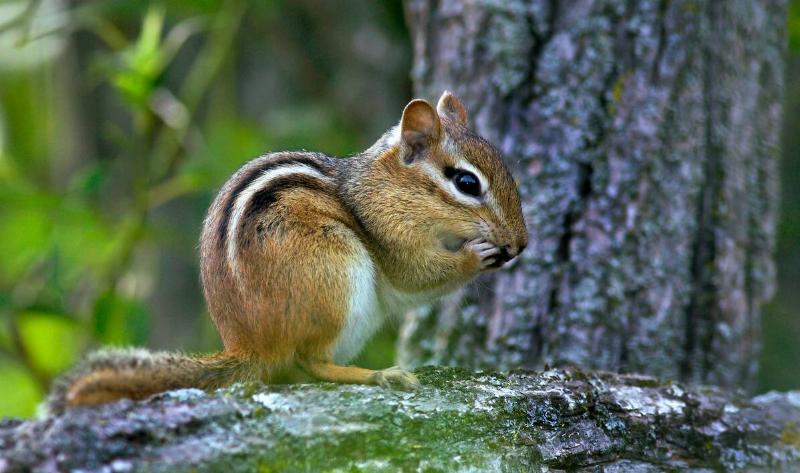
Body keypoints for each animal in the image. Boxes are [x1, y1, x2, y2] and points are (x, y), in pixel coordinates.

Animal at [43, 91, 528, 415]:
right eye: (466, 183)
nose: (521, 243)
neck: (387, 186)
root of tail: (249, 345)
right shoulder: (390, 233)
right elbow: (416, 275)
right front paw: (477, 255)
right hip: (335, 272)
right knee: (311, 363)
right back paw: (379, 375)